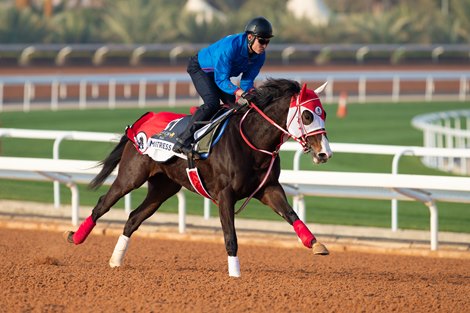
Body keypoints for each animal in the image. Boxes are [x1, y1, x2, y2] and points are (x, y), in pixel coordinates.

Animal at [64, 77, 332, 276]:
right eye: (308, 115)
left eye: (325, 113)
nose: (325, 153)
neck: (252, 141)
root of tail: (141, 121)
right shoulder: (225, 194)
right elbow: (230, 236)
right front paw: (235, 275)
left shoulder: (269, 189)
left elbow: (291, 214)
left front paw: (315, 243)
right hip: (130, 177)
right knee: (103, 204)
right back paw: (76, 236)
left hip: (163, 187)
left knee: (133, 218)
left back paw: (115, 260)